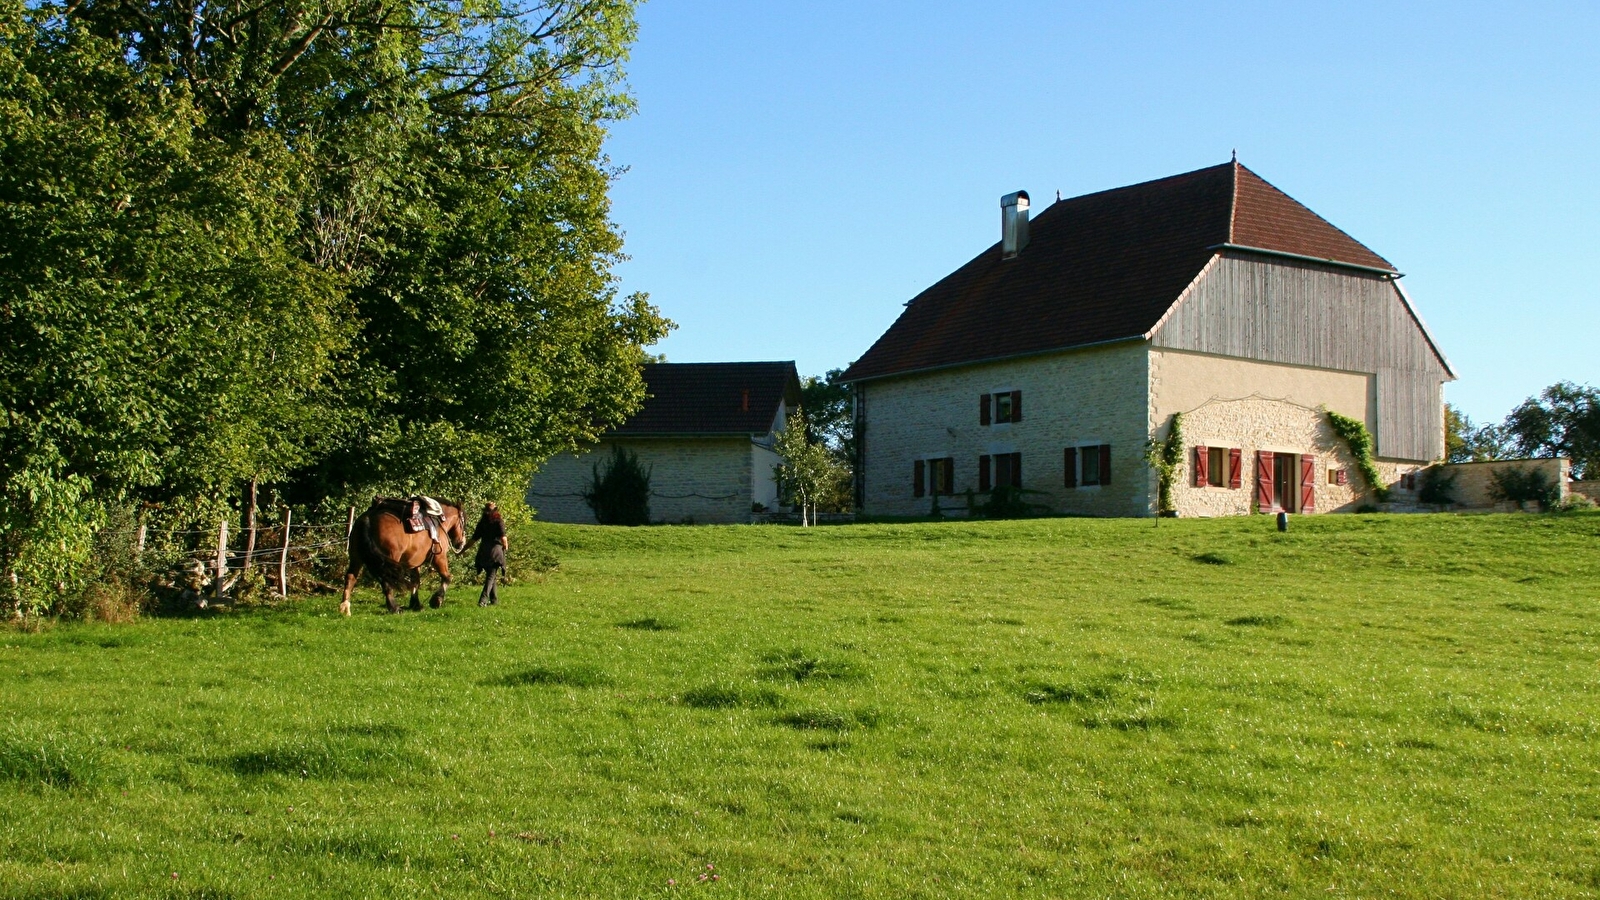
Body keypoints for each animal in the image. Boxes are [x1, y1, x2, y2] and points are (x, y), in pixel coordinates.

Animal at [336, 496, 467, 614]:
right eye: (463, 522)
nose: (461, 543)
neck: (439, 523)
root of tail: (368, 518)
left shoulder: (414, 563)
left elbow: (415, 582)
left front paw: (416, 604)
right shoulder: (439, 557)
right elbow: (447, 577)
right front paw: (436, 600)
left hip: (356, 558)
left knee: (350, 578)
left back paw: (345, 608)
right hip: (389, 559)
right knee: (386, 582)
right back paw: (394, 608)